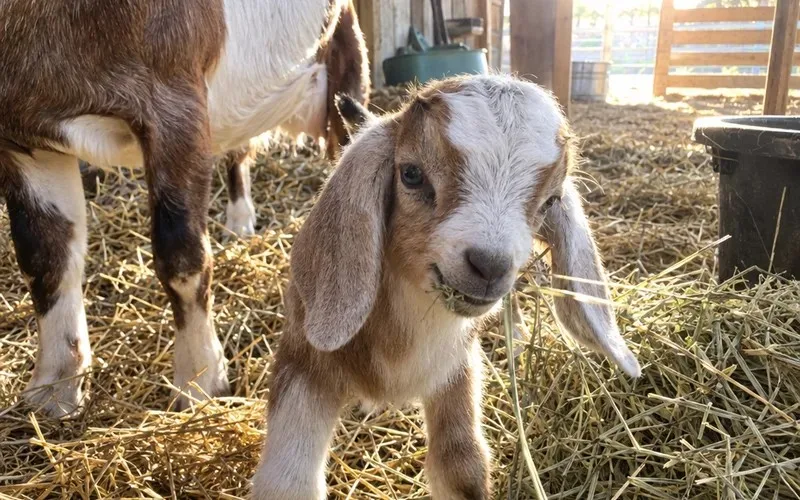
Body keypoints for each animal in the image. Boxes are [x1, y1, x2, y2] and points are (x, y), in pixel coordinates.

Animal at [0, 0, 366, 417]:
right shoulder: (25, 139)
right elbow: (45, 257)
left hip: (345, 62)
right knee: (238, 150)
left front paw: (200, 383)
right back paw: (239, 226)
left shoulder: (175, 106)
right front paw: (54, 391)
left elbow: (180, 255)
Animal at [251, 75, 641, 499]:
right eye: (411, 174)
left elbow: (461, 466)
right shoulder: (302, 358)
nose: (490, 265)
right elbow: (286, 480)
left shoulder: (455, 364)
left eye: (551, 201)